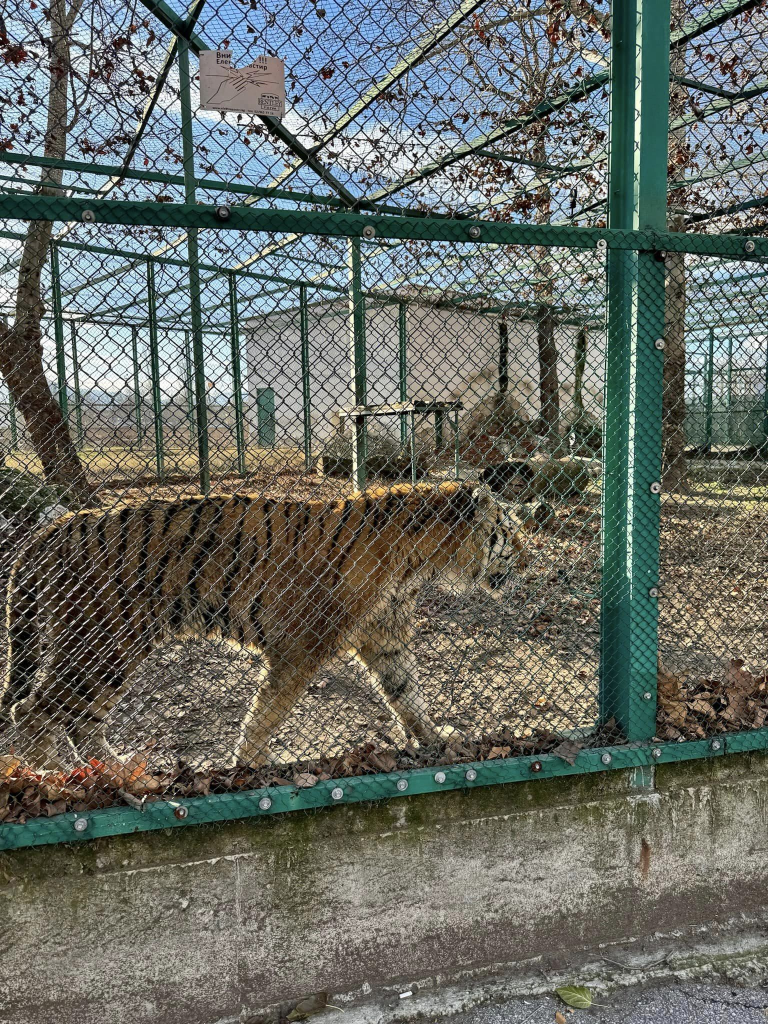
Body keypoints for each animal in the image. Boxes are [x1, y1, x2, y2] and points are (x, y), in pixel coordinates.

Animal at [1, 483, 528, 770]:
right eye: (511, 532)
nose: (531, 556)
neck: (421, 561)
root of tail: (53, 527)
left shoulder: (384, 640)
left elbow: (408, 695)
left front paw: (439, 739)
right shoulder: (302, 646)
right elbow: (268, 711)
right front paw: (251, 761)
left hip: (109, 648)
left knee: (79, 719)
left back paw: (114, 769)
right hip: (106, 641)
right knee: (31, 710)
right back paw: (62, 776)